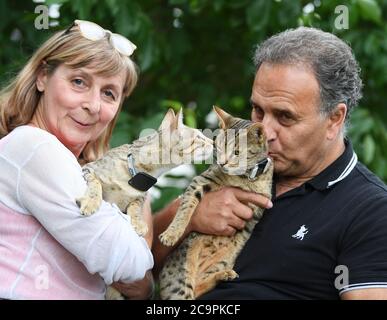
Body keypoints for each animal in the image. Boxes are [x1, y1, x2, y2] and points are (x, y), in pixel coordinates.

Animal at [75, 109, 212, 298]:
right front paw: (91, 202)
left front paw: (139, 222)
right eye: (199, 137)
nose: (214, 142)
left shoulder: (140, 197)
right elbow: (96, 185)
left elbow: (135, 205)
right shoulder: (89, 168)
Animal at [158, 106, 272, 298]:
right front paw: (172, 233)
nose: (223, 162)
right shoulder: (201, 181)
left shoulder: (263, 199)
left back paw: (223, 275)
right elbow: (185, 207)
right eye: (219, 146)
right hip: (181, 279)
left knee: (199, 287)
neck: (244, 178)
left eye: (237, 153)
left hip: (224, 260)